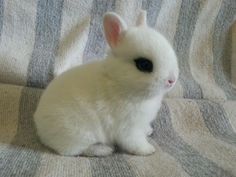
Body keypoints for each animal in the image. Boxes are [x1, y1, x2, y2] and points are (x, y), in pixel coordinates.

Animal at [34, 10, 179, 156]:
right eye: (144, 64)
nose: (172, 80)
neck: (120, 83)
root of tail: (39, 124)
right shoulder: (128, 129)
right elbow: (135, 143)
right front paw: (149, 150)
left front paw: (149, 131)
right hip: (78, 136)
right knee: (78, 150)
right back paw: (104, 150)